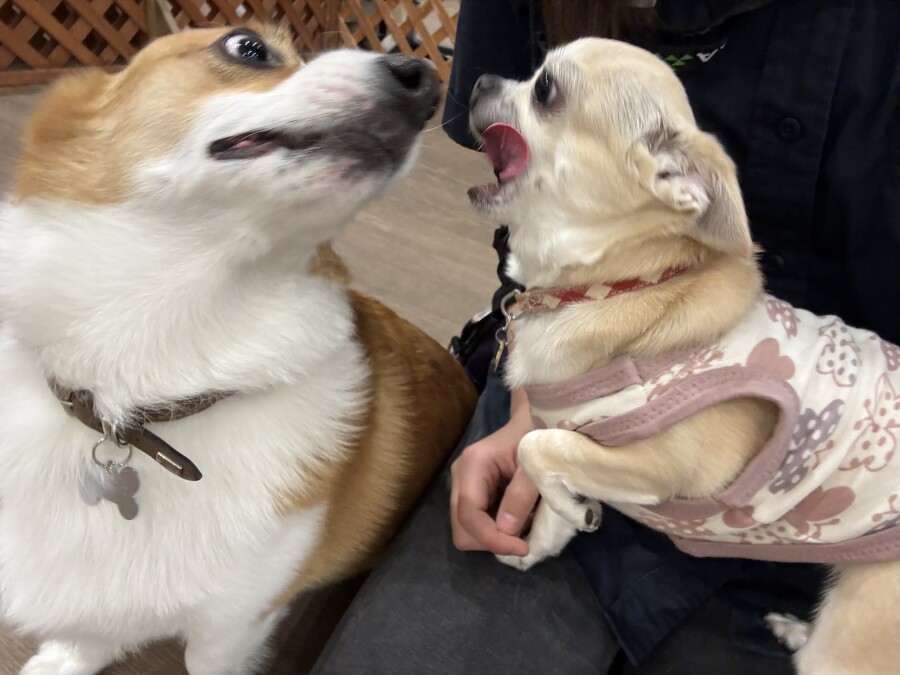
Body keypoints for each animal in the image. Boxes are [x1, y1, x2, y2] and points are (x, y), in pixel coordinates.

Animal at [466, 37, 900, 675]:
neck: (617, 286)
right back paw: (793, 629)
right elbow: (549, 474)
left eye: (544, 89)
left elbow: (535, 445)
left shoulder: (658, 470)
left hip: (854, 631)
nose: (479, 79)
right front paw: (557, 526)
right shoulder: (584, 440)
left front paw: (567, 506)